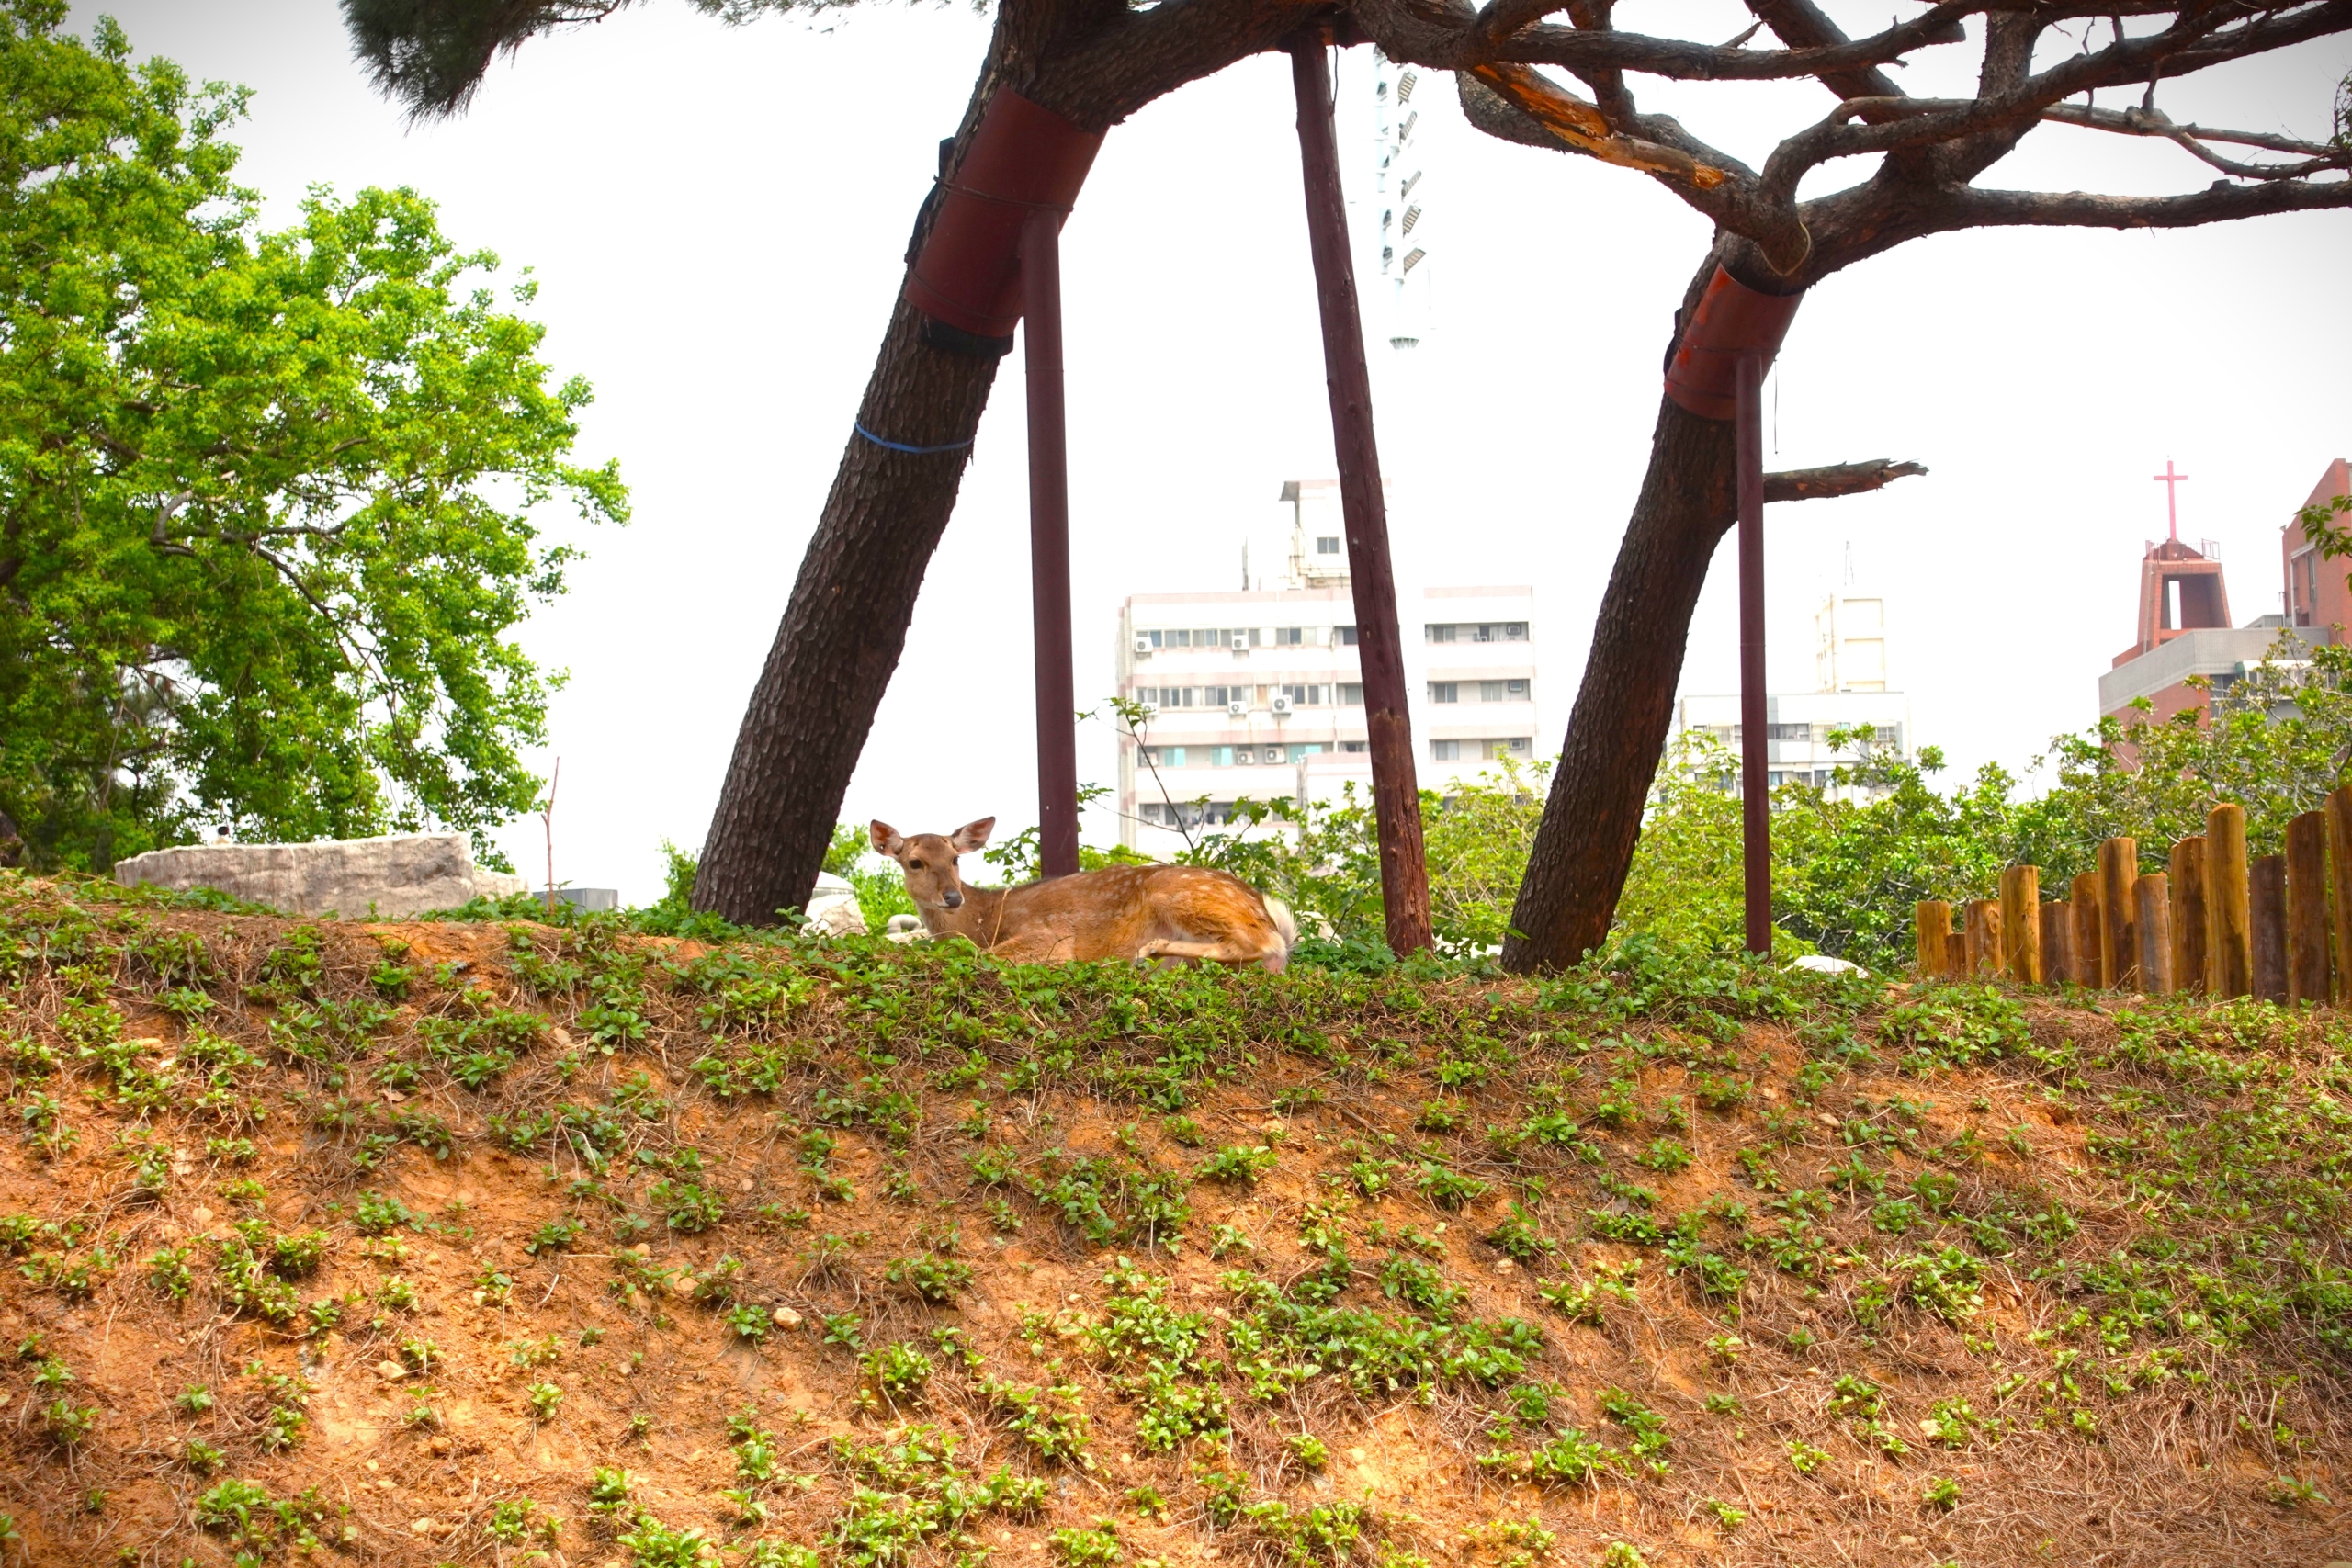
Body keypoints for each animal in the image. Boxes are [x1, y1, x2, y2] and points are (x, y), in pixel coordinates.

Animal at [875, 822, 1298, 968]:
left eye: (955, 858)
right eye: (915, 862)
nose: (952, 896)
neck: (985, 920)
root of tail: (1263, 909)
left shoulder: (1050, 935)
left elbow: (985, 957)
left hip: (1181, 896)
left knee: (1265, 942)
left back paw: (1151, 949)